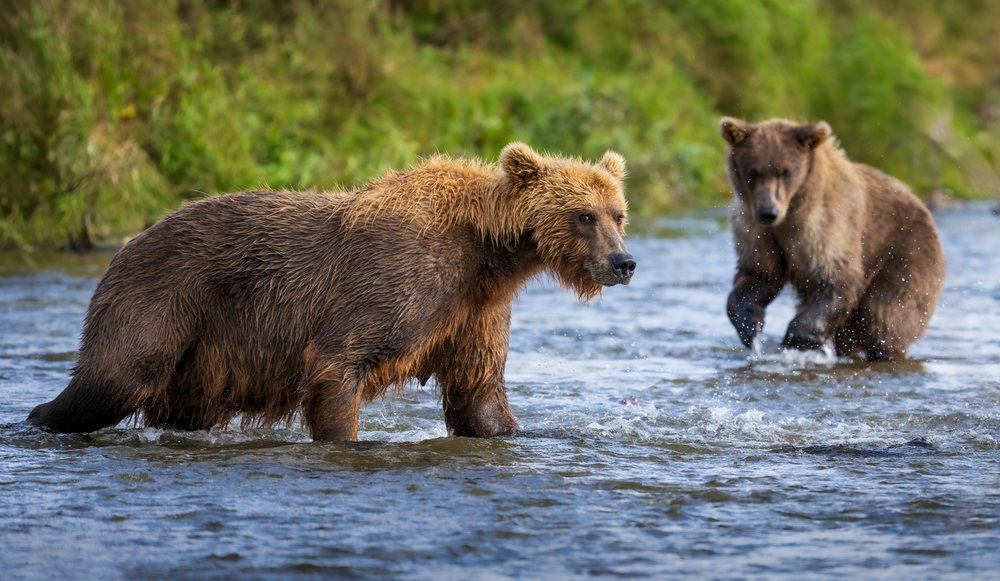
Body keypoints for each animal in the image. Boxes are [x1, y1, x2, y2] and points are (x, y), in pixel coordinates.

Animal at [27, 143, 636, 441]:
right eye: (584, 215)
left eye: (618, 213)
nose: (623, 262)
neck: (488, 254)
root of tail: (125, 243)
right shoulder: (402, 279)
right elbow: (338, 358)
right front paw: (345, 437)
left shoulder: (474, 309)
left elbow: (479, 393)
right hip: (163, 297)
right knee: (111, 378)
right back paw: (40, 419)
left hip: (199, 361)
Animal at [720, 117, 945, 361]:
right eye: (753, 172)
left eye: (786, 172)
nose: (768, 211)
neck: (791, 212)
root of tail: (923, 207)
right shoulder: (754, 229)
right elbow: (759, 274)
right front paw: (750, 325)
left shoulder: (825, 224)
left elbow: (836, 278)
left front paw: (795, 341)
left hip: (906, 253)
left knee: (886, 316)